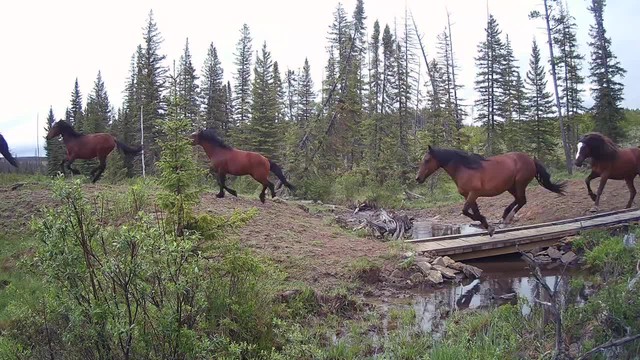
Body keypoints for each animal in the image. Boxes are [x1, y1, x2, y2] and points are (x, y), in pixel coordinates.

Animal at [418, 146, 568, 236]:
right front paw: (487, 227)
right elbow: (474, 212)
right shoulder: (468, 195)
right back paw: (504, 217)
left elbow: (466, 211)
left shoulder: (473, 194)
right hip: (510, 187)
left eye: (427, 160)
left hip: (520, 184)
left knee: (522, 201)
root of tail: (531, 160)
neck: (464, 168)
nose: (418, 178)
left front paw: (488, 225)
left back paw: (507, 220)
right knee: (518, 200)